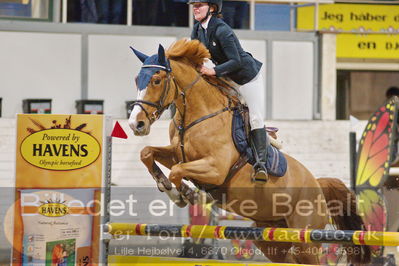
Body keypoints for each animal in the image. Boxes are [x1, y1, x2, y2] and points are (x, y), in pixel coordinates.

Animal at [129, 39, 372, 264]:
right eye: (137, 80)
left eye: (156, 80)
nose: (136, 124)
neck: (198, 115)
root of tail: (318, 185)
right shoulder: (177, 154)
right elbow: (147, 153)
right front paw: (169, 189)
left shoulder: (215, 168)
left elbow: (177, 171)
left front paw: (189, 195)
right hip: (270, 236)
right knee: (286, 257)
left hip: (305, 239)